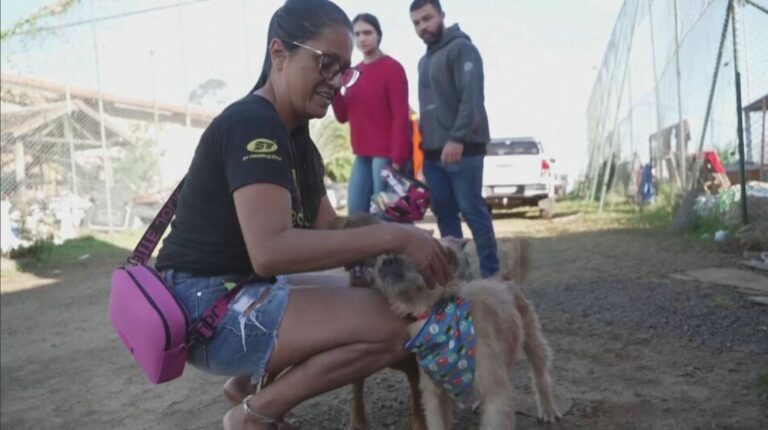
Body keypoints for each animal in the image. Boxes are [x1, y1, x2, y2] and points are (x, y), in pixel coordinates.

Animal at [370, 237, 560, 428]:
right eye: (384, 253)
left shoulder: (496, 396)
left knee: (540, 375)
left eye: (412, 250)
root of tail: (504, 279)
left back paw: (548, 409)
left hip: (532, 341)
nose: (387, 260)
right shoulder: (434, 397)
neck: (435, 317)